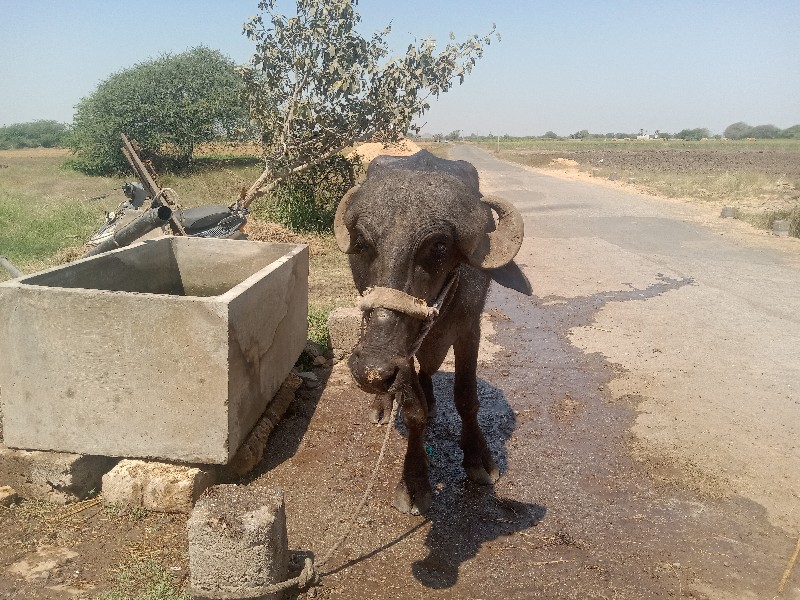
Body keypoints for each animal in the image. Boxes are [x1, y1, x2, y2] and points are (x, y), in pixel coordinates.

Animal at [332, 151, 532, 516]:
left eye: (438, 246)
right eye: (363, 243)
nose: (372, 369)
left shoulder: (470, 329)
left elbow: (467, 397)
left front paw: (478, 458)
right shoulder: (402, 354)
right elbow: (414, 411)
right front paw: (414, 483)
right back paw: (384, 404)